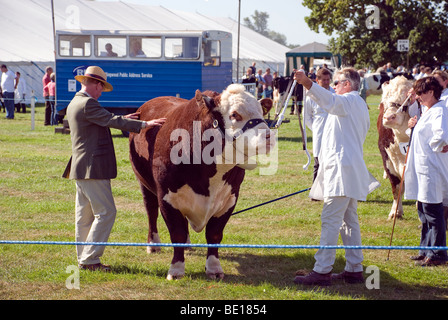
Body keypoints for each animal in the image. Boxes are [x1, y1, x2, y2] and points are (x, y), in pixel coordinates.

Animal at [130, 84, 274, 280]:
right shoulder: (166, 197)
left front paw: (214, 268)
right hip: (144, 184)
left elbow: (214, 235)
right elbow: (176, 233)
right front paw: (176, 270)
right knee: (151, 212)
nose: (268, 136)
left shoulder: (229, 199)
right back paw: (153, 244)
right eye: (234, 114)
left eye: (261, 111)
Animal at [376, 76, 414, 219]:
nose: (388, 117)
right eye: (383, 103)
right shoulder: (387, 159)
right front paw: (395, 212)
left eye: (406, 101)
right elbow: (397, 187)